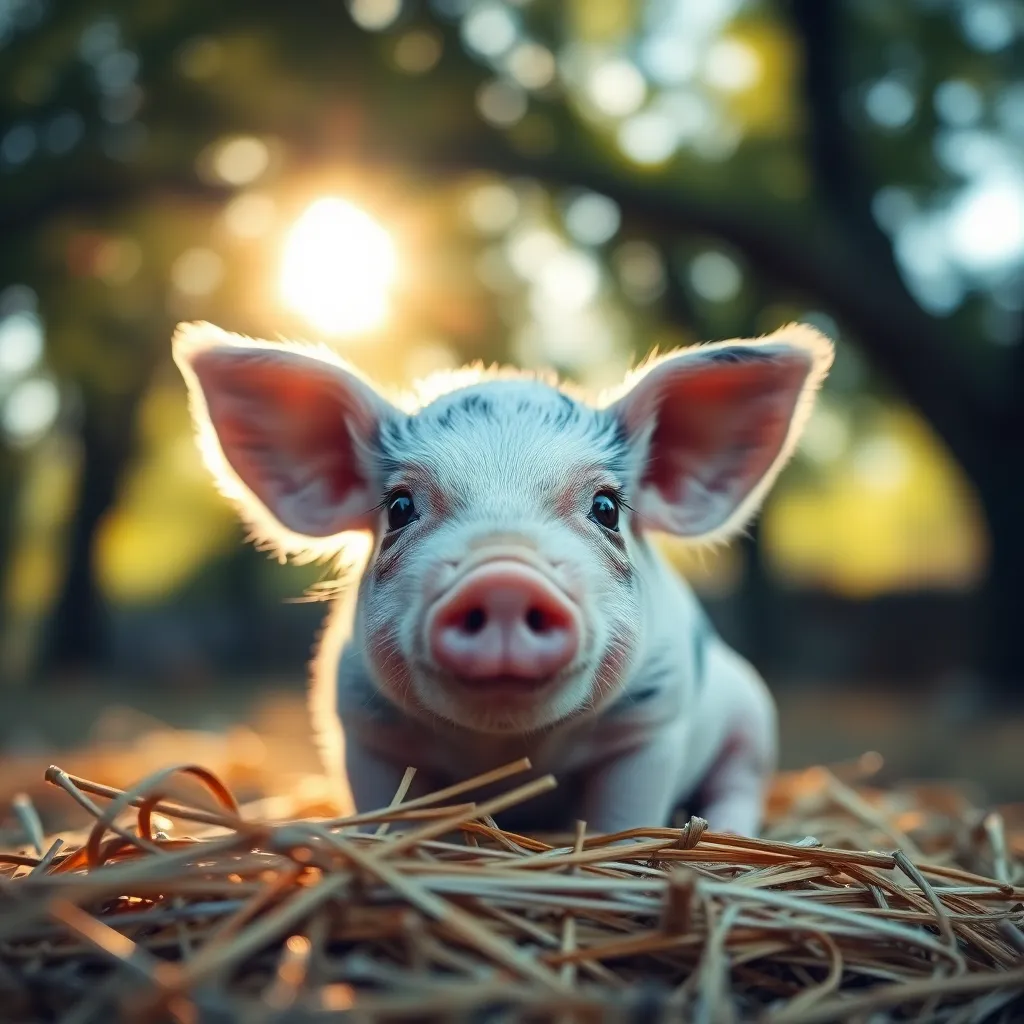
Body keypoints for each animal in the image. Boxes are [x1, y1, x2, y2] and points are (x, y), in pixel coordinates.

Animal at [172, 319, 832, 837]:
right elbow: (383, 809)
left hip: (753, 713)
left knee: (740, 782)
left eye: (606, 507)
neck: (509, 748)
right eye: (400, 507)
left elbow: (623, 817)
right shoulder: (361, 725)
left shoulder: (651, 725)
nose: (505, 579)